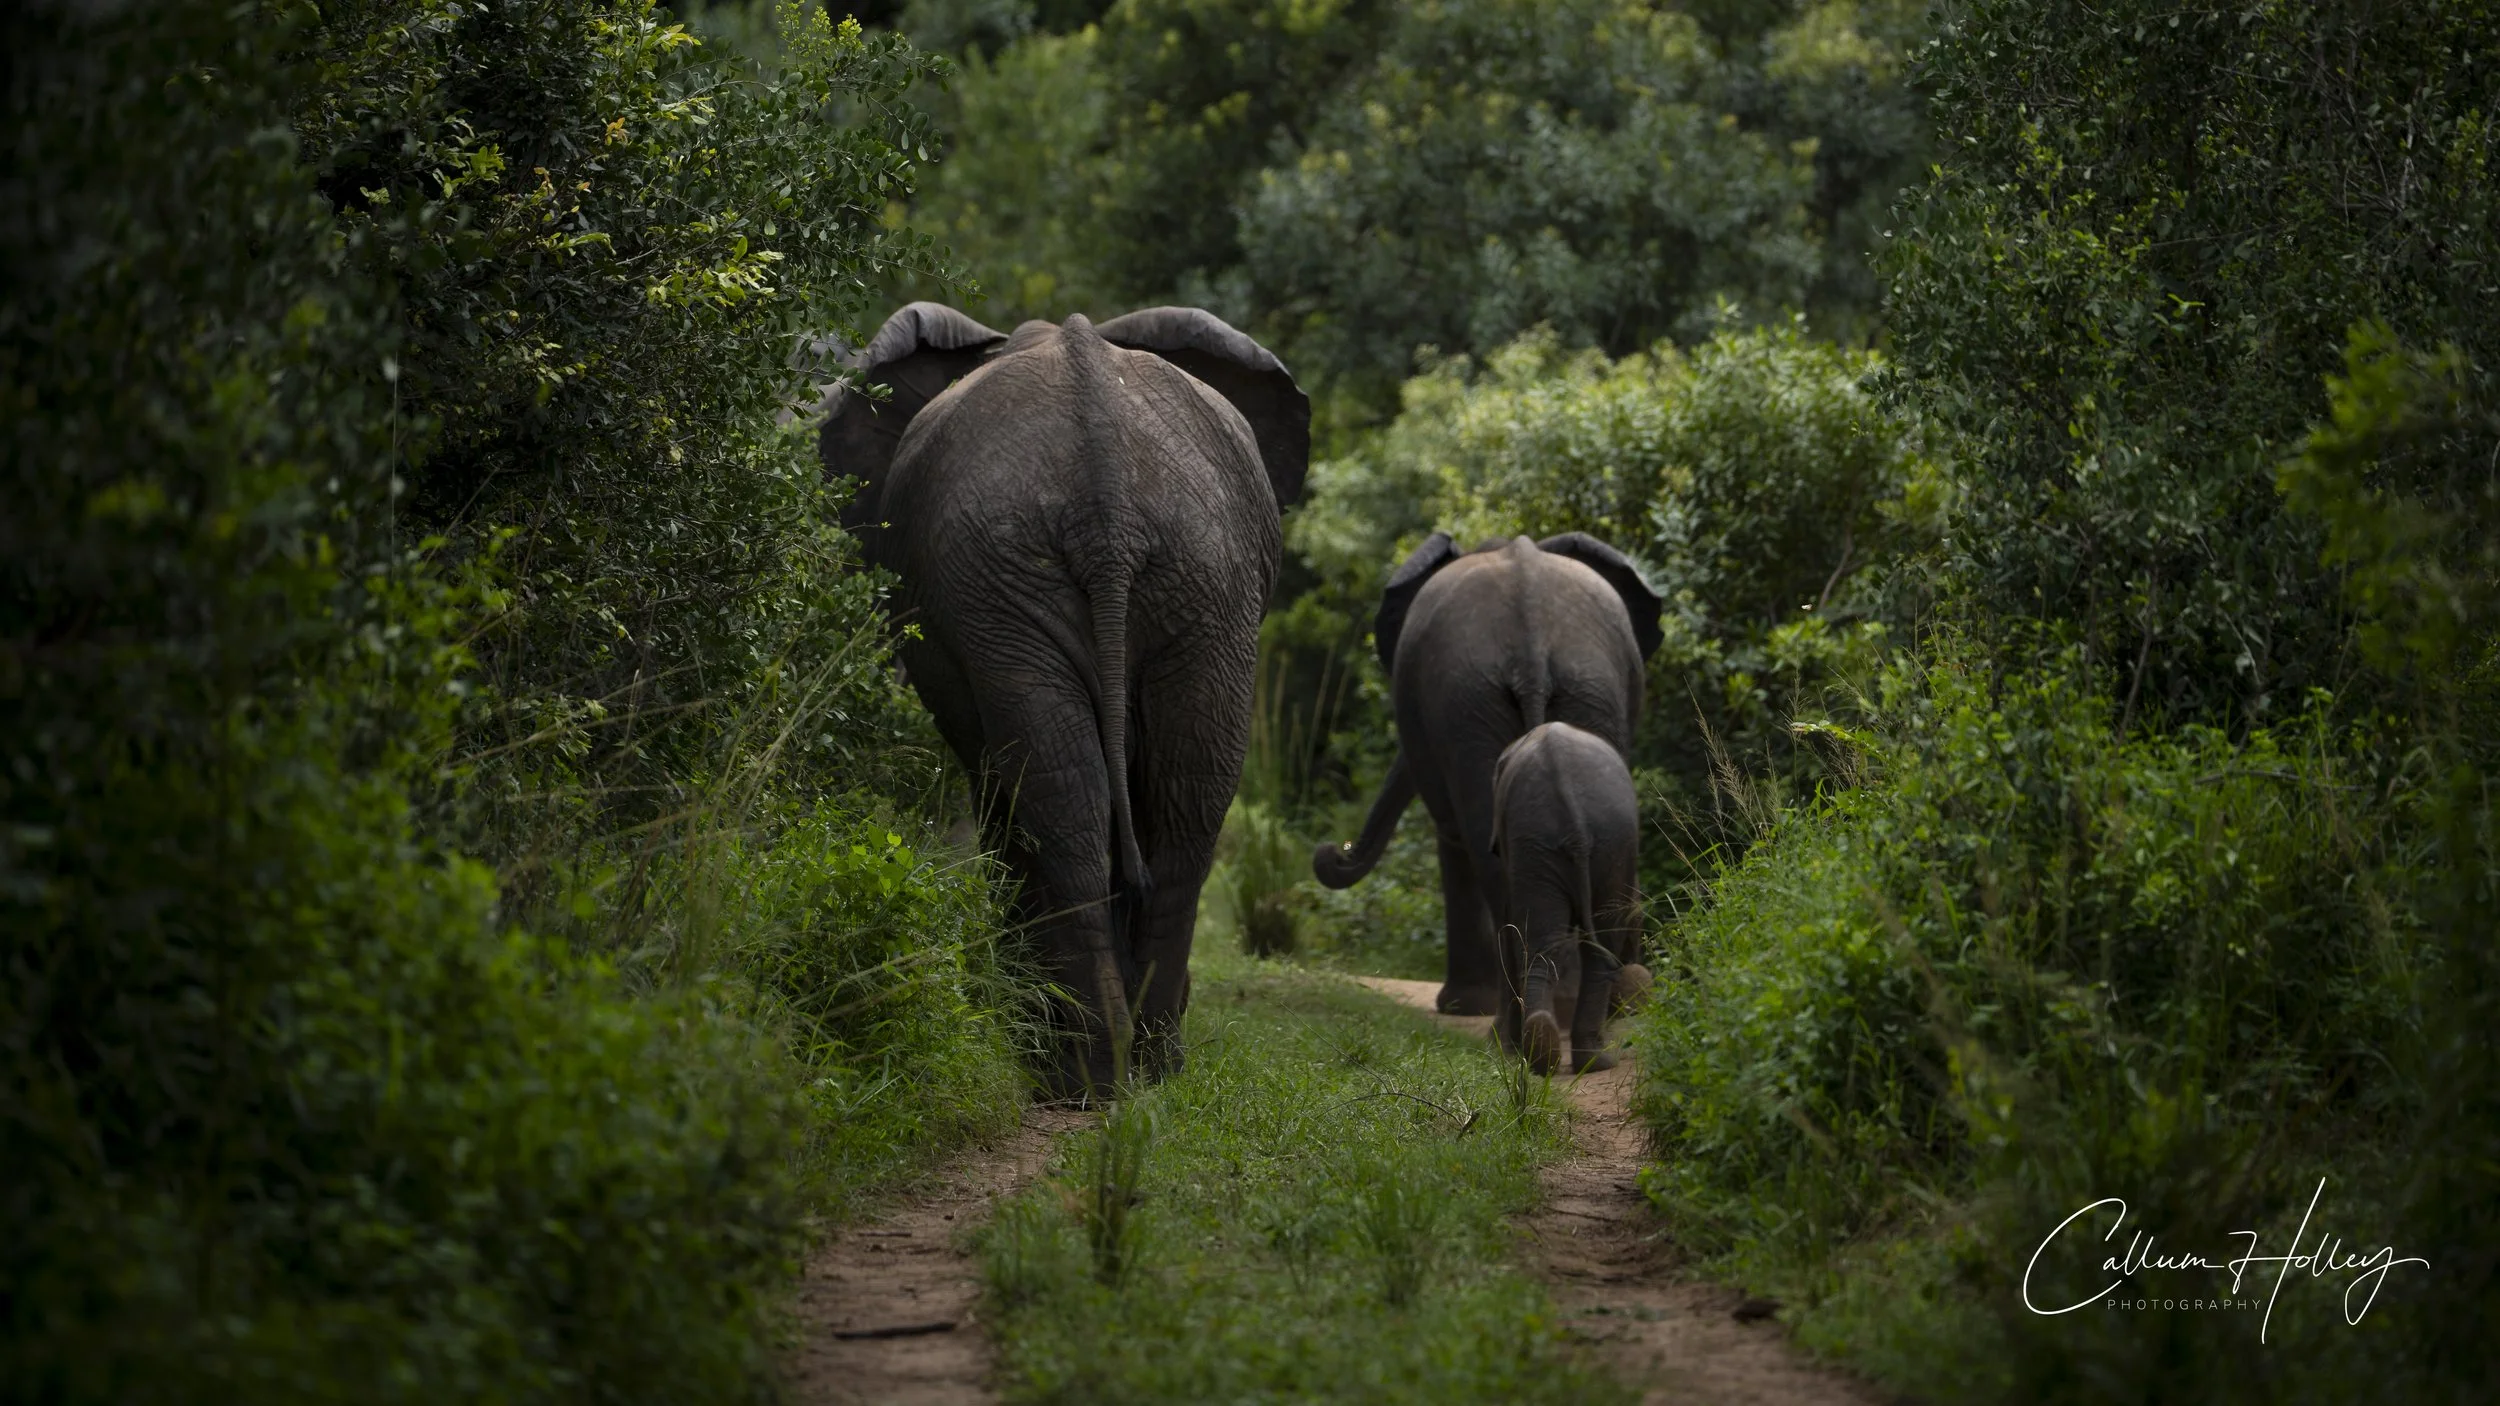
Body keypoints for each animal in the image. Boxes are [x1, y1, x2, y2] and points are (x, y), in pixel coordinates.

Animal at [819, 303, 1310, 1099]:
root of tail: (1106, 505)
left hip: (1051, 579)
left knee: (1079, 798)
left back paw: (1089, 1077)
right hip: (1184, 581)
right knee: (1174, 800)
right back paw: (1140, 1070)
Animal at [1312, 531, 1663, 1016]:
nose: (1332, 851)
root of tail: (1530, 637)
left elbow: (1451, 836)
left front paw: (1461, 1008)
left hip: (1485, 696)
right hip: (1556, 691)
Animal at [1491, 721, 1651, 1074]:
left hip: (1573, 841)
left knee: (1546, 945)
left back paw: (1549, 1053)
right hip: (1585, 841)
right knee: (1588, 946)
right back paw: (1585, 1059)